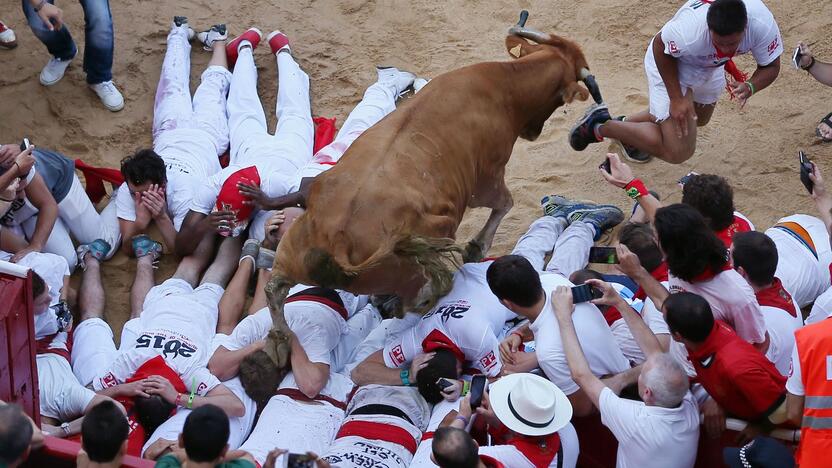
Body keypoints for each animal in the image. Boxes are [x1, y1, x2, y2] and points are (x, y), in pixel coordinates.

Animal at [258, 13, 600, 370]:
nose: (534, 132)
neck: (502, 85)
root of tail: (336, 241)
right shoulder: (486, 180)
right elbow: (505, 203)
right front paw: (475, 247)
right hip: (412, 275)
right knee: (418, 298)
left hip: (291, 252)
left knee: (274, 288)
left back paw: (278, 341)